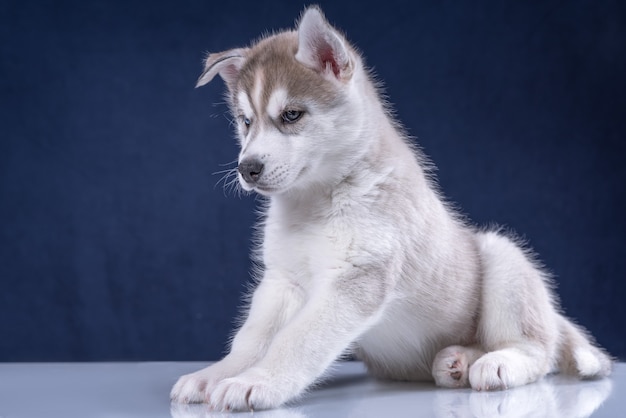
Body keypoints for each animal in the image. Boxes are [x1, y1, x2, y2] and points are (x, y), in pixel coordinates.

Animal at [169, 5, 608, 412]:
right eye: (245, 121)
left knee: (537, 349)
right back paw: (456, 361)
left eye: (291, 115)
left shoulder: (356, 280)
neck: (316, 201)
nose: (247, 168)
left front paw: (255, 382)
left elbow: (296, 341)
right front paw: (217, 374)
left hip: (504, 259)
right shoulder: (282, 281)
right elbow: (252, 338)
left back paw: (495, 363)